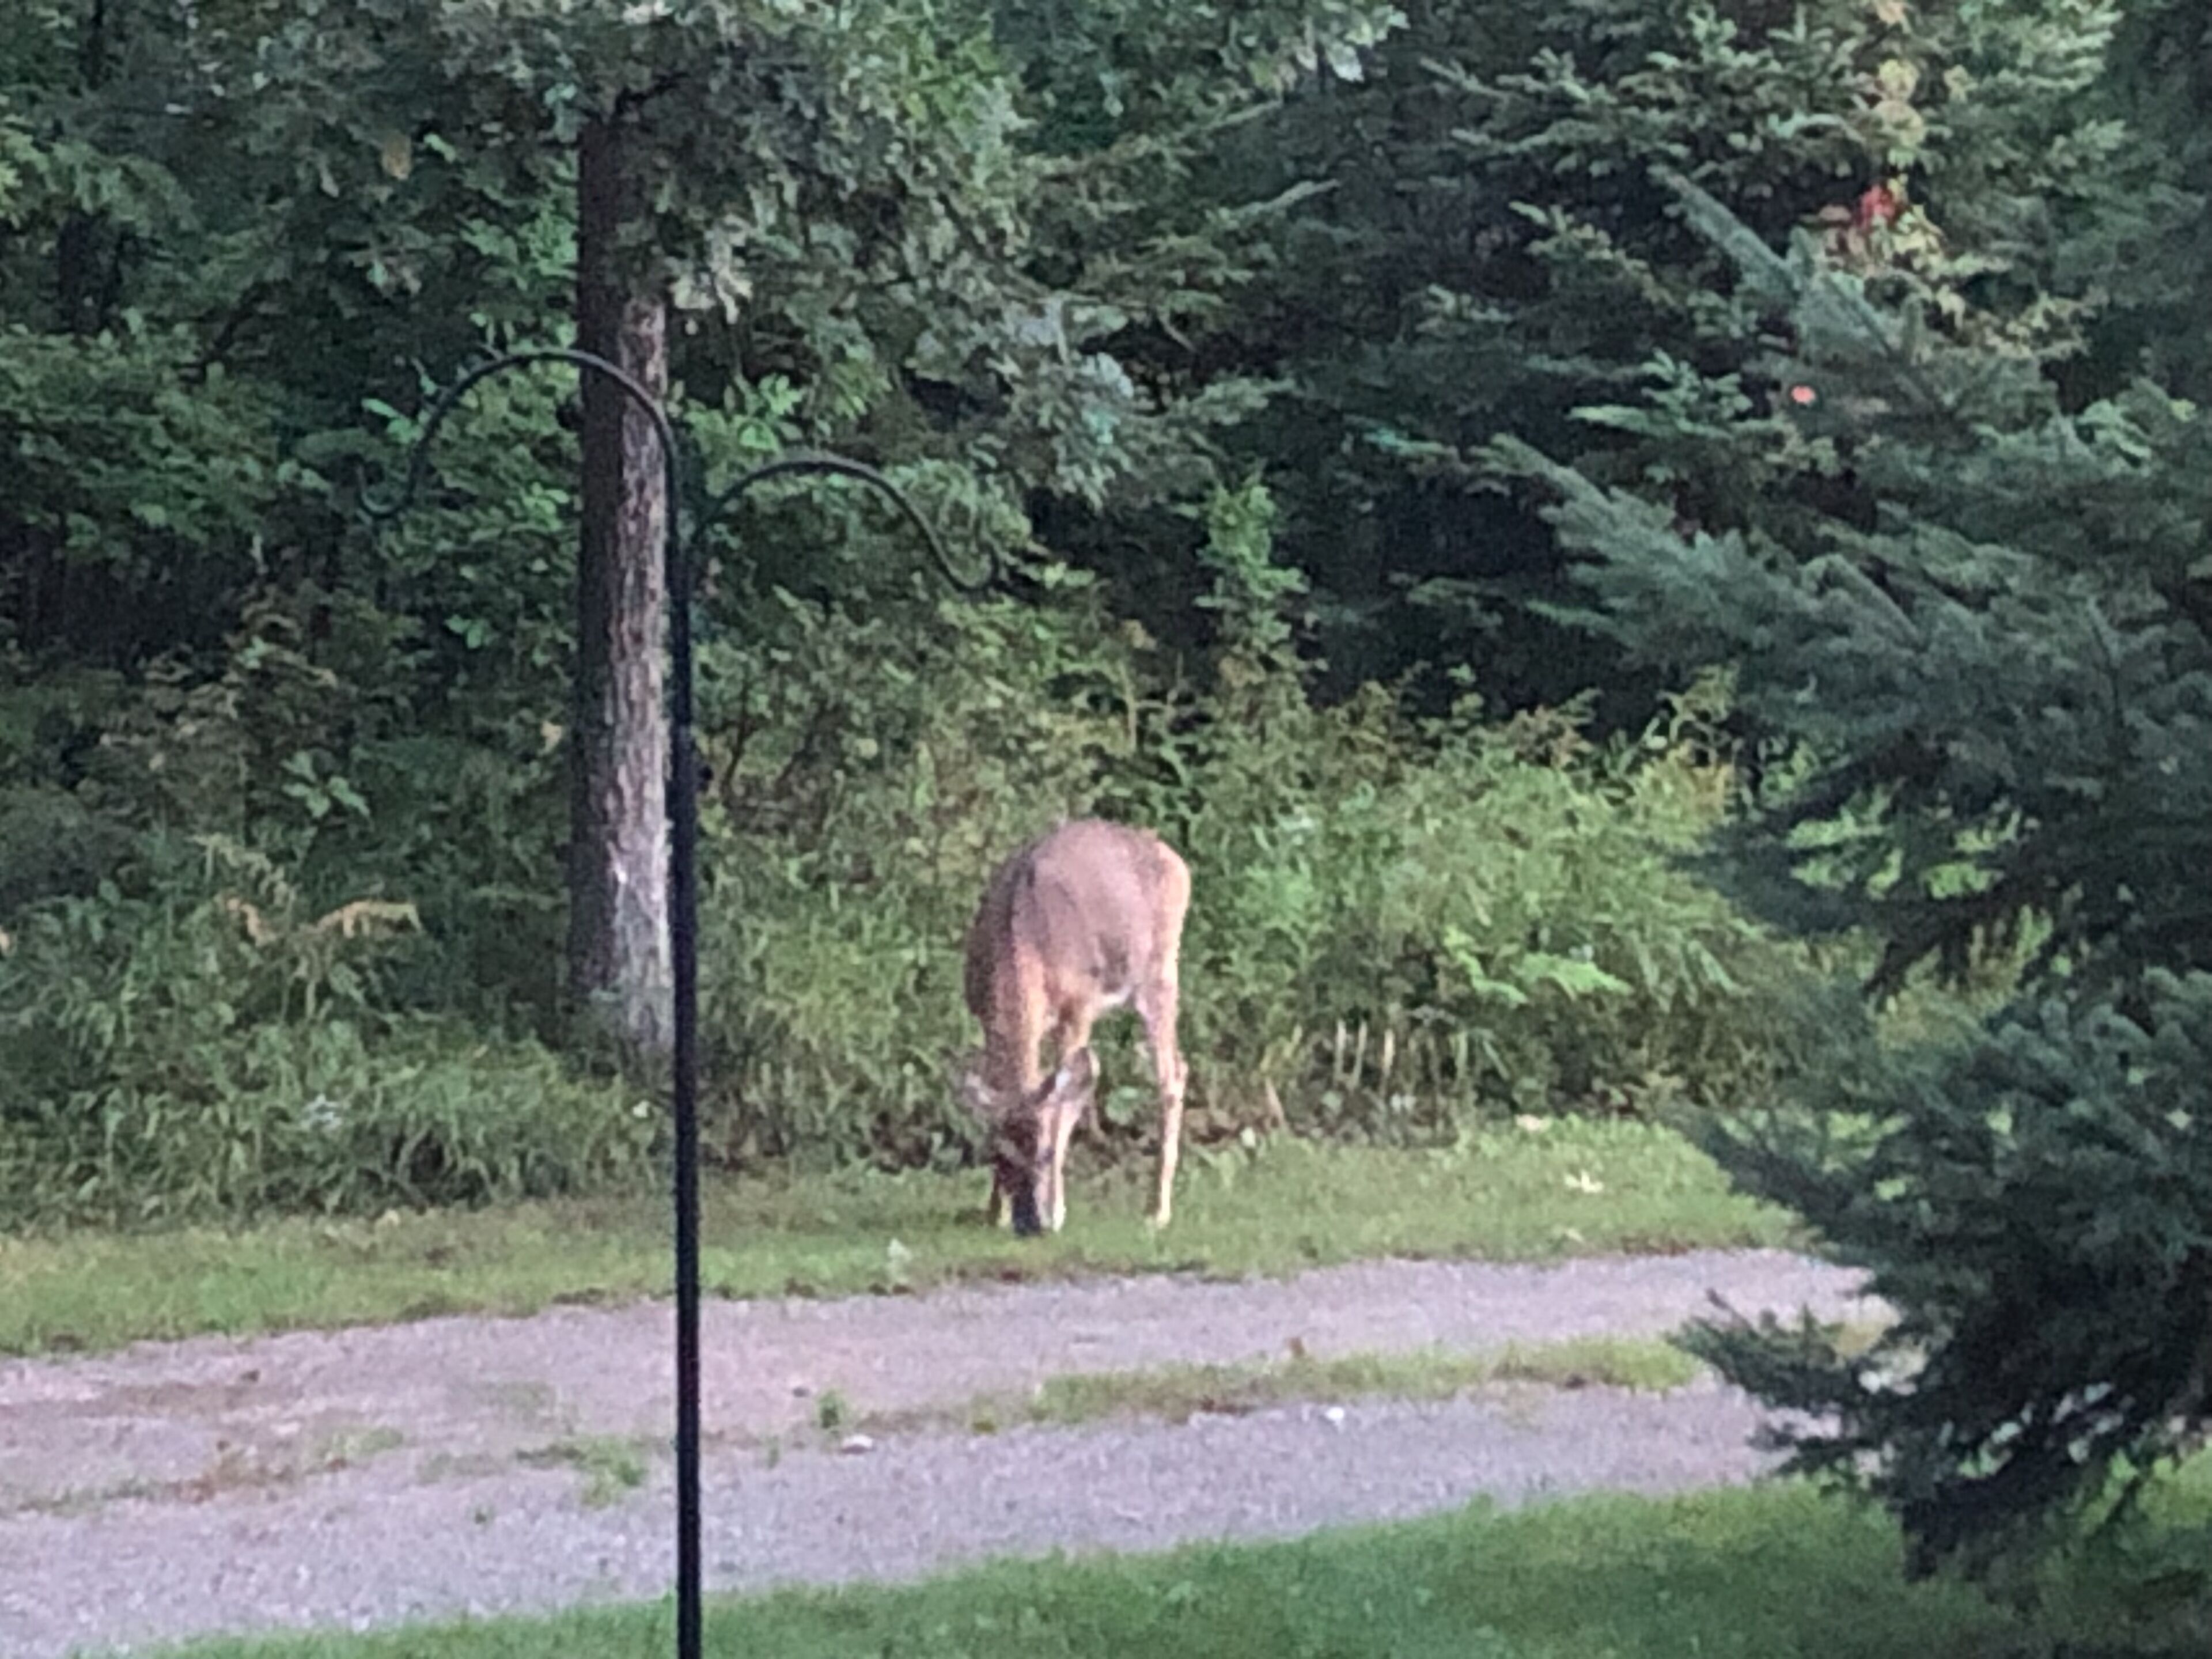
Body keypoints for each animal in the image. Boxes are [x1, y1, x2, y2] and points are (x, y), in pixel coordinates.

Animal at [958, 818, 1192, 1237]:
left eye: (1047, 1153)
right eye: (1000, 1154)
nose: (1029, 1223)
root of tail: (1175, 859)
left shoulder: (1079, 1007)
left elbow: (1068, 1093)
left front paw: (1056, 1210)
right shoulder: (984, 1017)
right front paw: (994, 1212)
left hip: (1161, 973)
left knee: (1172, 1074)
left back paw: (1157, 1212)